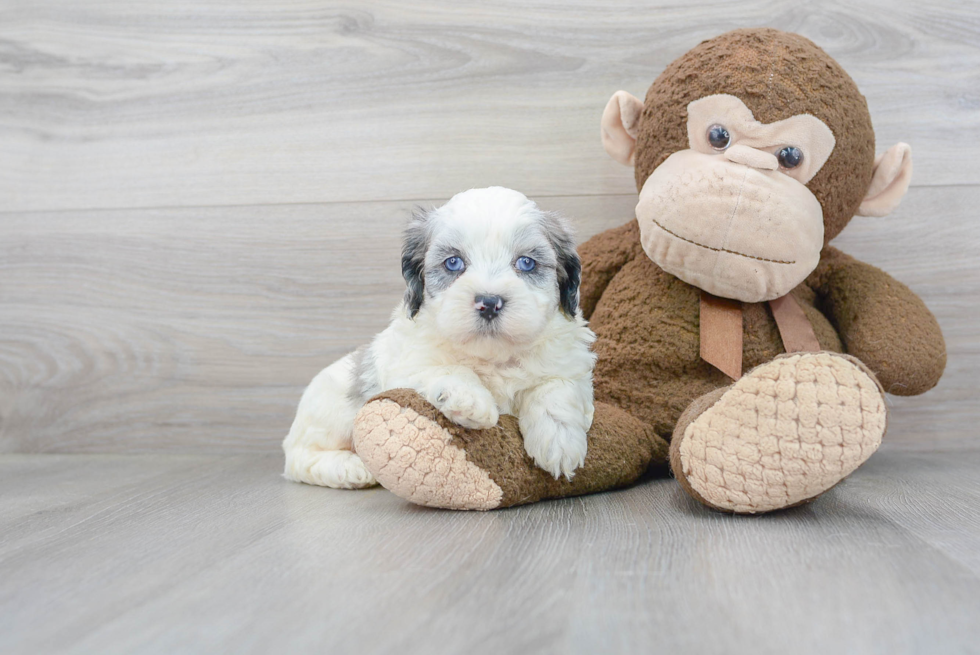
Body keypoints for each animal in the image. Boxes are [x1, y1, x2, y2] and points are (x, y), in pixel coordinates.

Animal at [284, 187, 596, 490]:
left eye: (527, 263)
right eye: (453, 263)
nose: (489, 302)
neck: (492, 355)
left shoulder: (570, 365)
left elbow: (555, 388)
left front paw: (559, 441)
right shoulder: (407, 364)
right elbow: (447, 368)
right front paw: (470, 400)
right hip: (331, 414)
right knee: (300, 458)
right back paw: (350, 468)